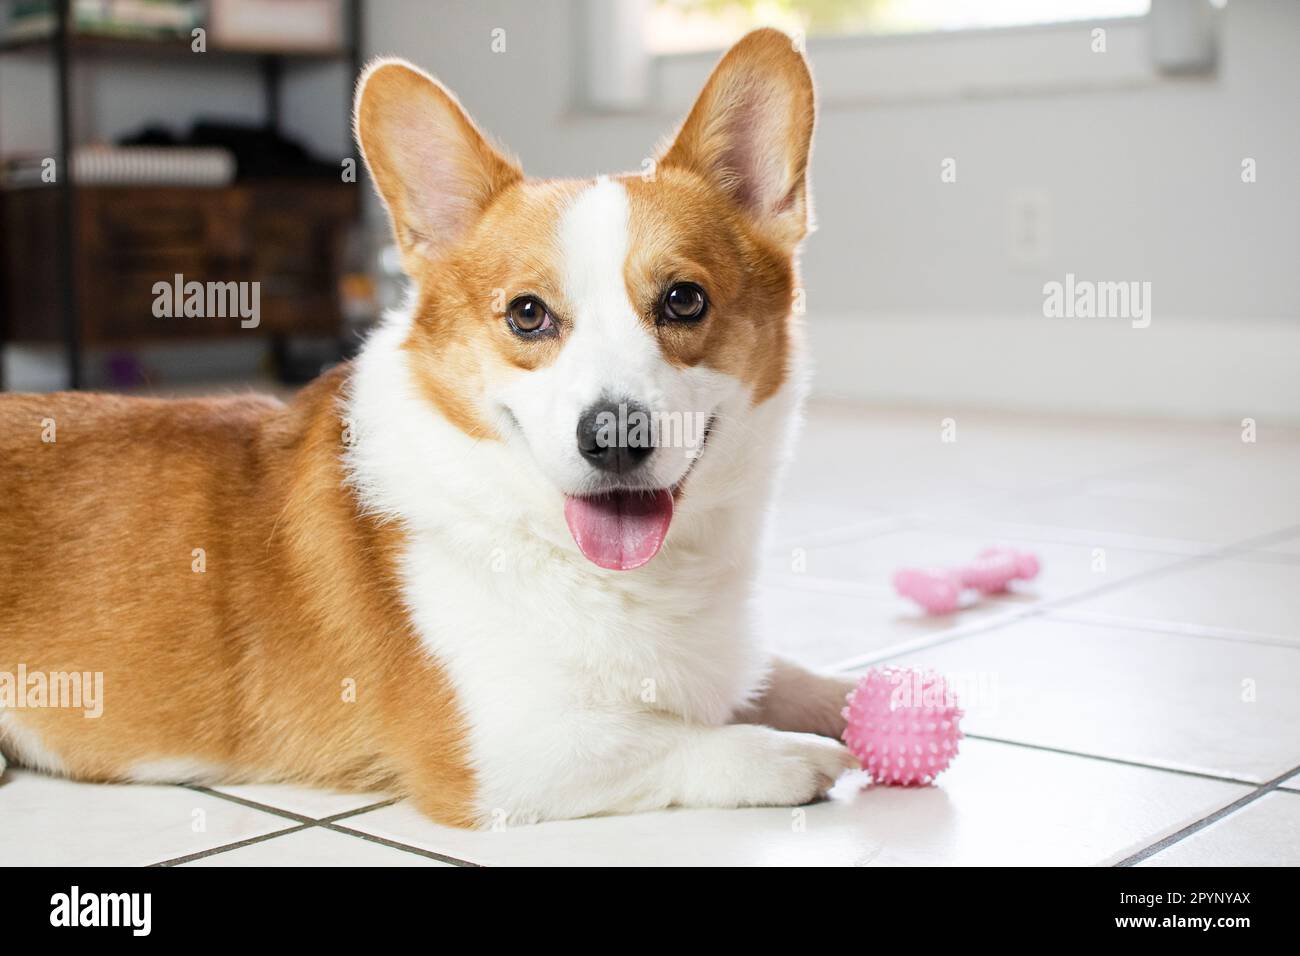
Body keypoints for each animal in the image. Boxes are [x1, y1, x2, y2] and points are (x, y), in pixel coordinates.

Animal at [2, 29, 863, 832]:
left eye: (684, 300)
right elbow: (677, 738)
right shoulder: (504, 754)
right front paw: (791, 752)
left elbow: (780, 675)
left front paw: (852, 694)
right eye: (527, 314)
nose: (613, 438)